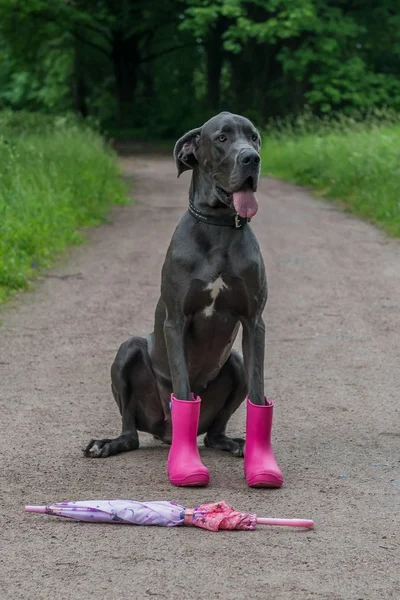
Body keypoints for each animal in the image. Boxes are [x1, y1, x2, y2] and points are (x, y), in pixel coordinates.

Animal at [85, 111, 282, 488]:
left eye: (254, 137)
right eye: (221, 138)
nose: (251, 158)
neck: (219, 227)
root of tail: (162, 432)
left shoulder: (255, 322)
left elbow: (258, 390)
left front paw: (260, 461)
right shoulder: (176, 321)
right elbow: (183, 389)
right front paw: (186, 464)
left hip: (234, 362)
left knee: (214, 432)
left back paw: (233, 443)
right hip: (128, 350)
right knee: (132, 431)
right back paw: (109, 443)